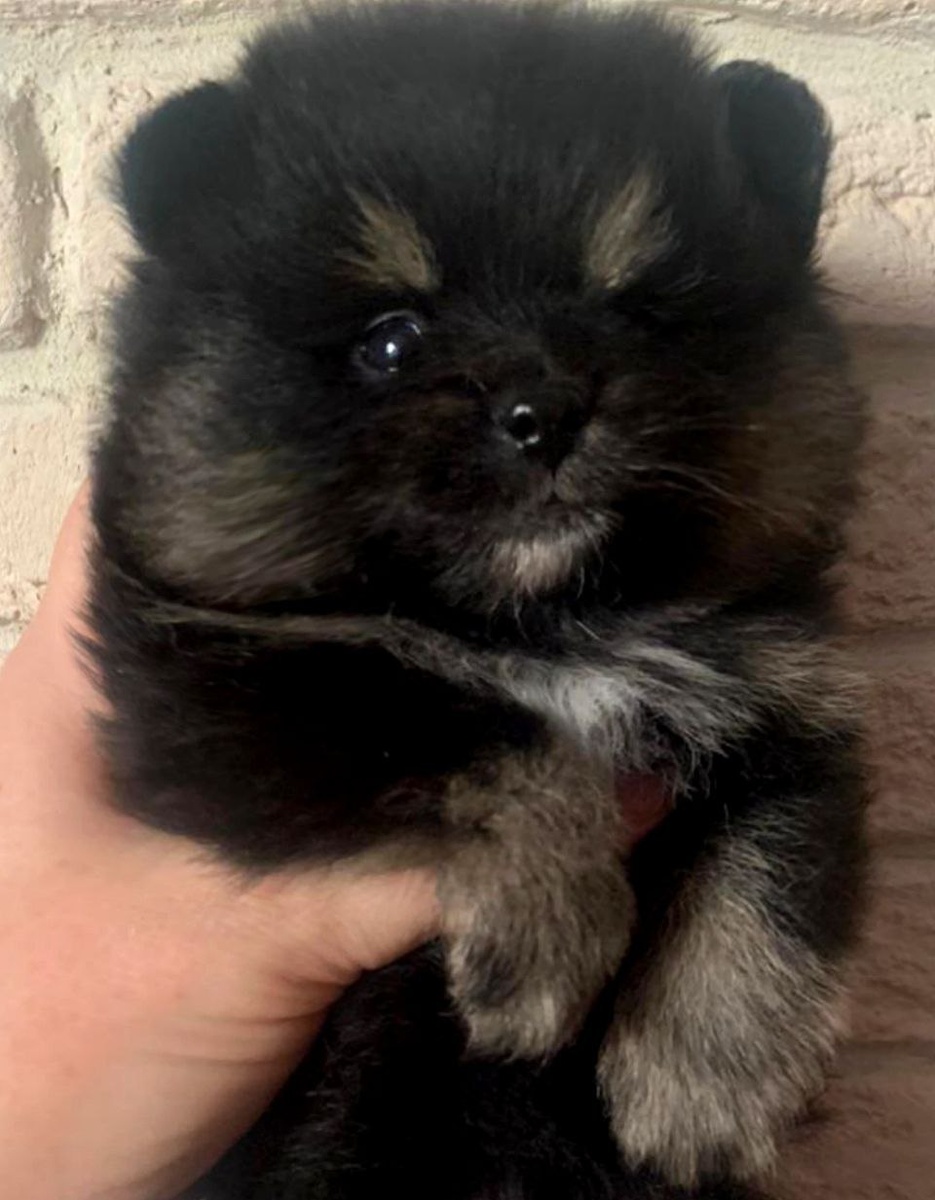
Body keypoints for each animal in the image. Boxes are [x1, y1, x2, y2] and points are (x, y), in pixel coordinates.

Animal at [88, 3, 869, 1197]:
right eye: (391, 340)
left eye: (640, 313)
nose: (542, 410)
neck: (550, 625)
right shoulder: (214, 676)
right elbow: (480, 730)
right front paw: (548, 944)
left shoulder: (792, 693)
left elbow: (774, 859)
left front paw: (706, 1078)